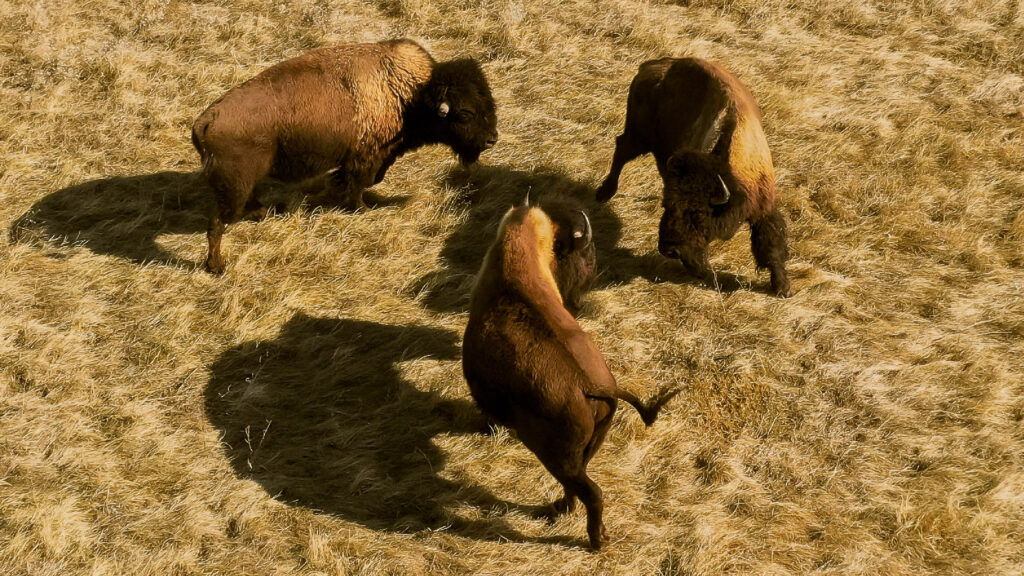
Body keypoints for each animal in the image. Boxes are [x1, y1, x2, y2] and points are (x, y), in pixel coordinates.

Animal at [192, 39, 498, 273]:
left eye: (489, 102)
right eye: (465, 113)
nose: (492, 139)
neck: (411, 94)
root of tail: (207, 119)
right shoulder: (367, 158)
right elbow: (360, 184)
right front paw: (361, 208)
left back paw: (259, 214)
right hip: (234, 187)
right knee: (217, 224)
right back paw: (217, 266)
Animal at [462, 195, 676, 550]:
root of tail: (590, 384)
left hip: (555, 455)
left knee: (591, 491)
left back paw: (595, 538)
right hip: (587, 447)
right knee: (580, 483)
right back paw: (563, 508)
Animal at [596, 57, 791, 297]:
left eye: (698, 214)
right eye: (667, 205)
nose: (669, 250)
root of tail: (653, 64)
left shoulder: (763, 206)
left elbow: (771, 245)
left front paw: (782, 288)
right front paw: (703, 271)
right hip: (639, 136)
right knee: (622, 150)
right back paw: (604, 193)